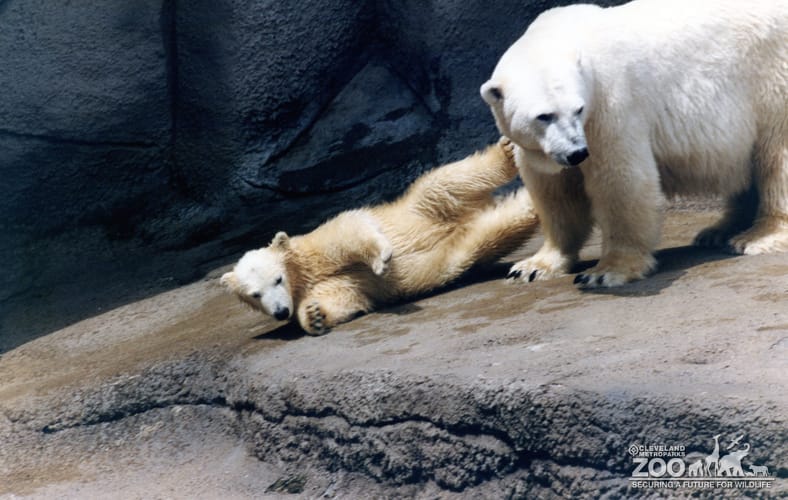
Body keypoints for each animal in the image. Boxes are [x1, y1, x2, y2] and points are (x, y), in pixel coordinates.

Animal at [221, 138, 539, 335]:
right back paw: (528, 206)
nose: (280, 312)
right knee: (497, 228)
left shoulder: (315, 244)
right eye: (254, 294)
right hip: (463, 247)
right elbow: (345, 295)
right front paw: (314, 316)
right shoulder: (326, 284)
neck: (301, 272)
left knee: (449, 182)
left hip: (422, 207)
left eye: (278, 279)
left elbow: (350, 229)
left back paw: (507, 153)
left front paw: (381, 257)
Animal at [480, 0, 788, 288]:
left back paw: (756, 237)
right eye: (544, 116)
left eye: (578, 109)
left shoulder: (610, 104)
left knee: (776, 156)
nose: (577, 153)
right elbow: (555, 192)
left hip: (771, 79)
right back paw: (718, 232)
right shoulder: (544, 149)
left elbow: (621, 181)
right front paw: (531, 267)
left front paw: (606, 272)